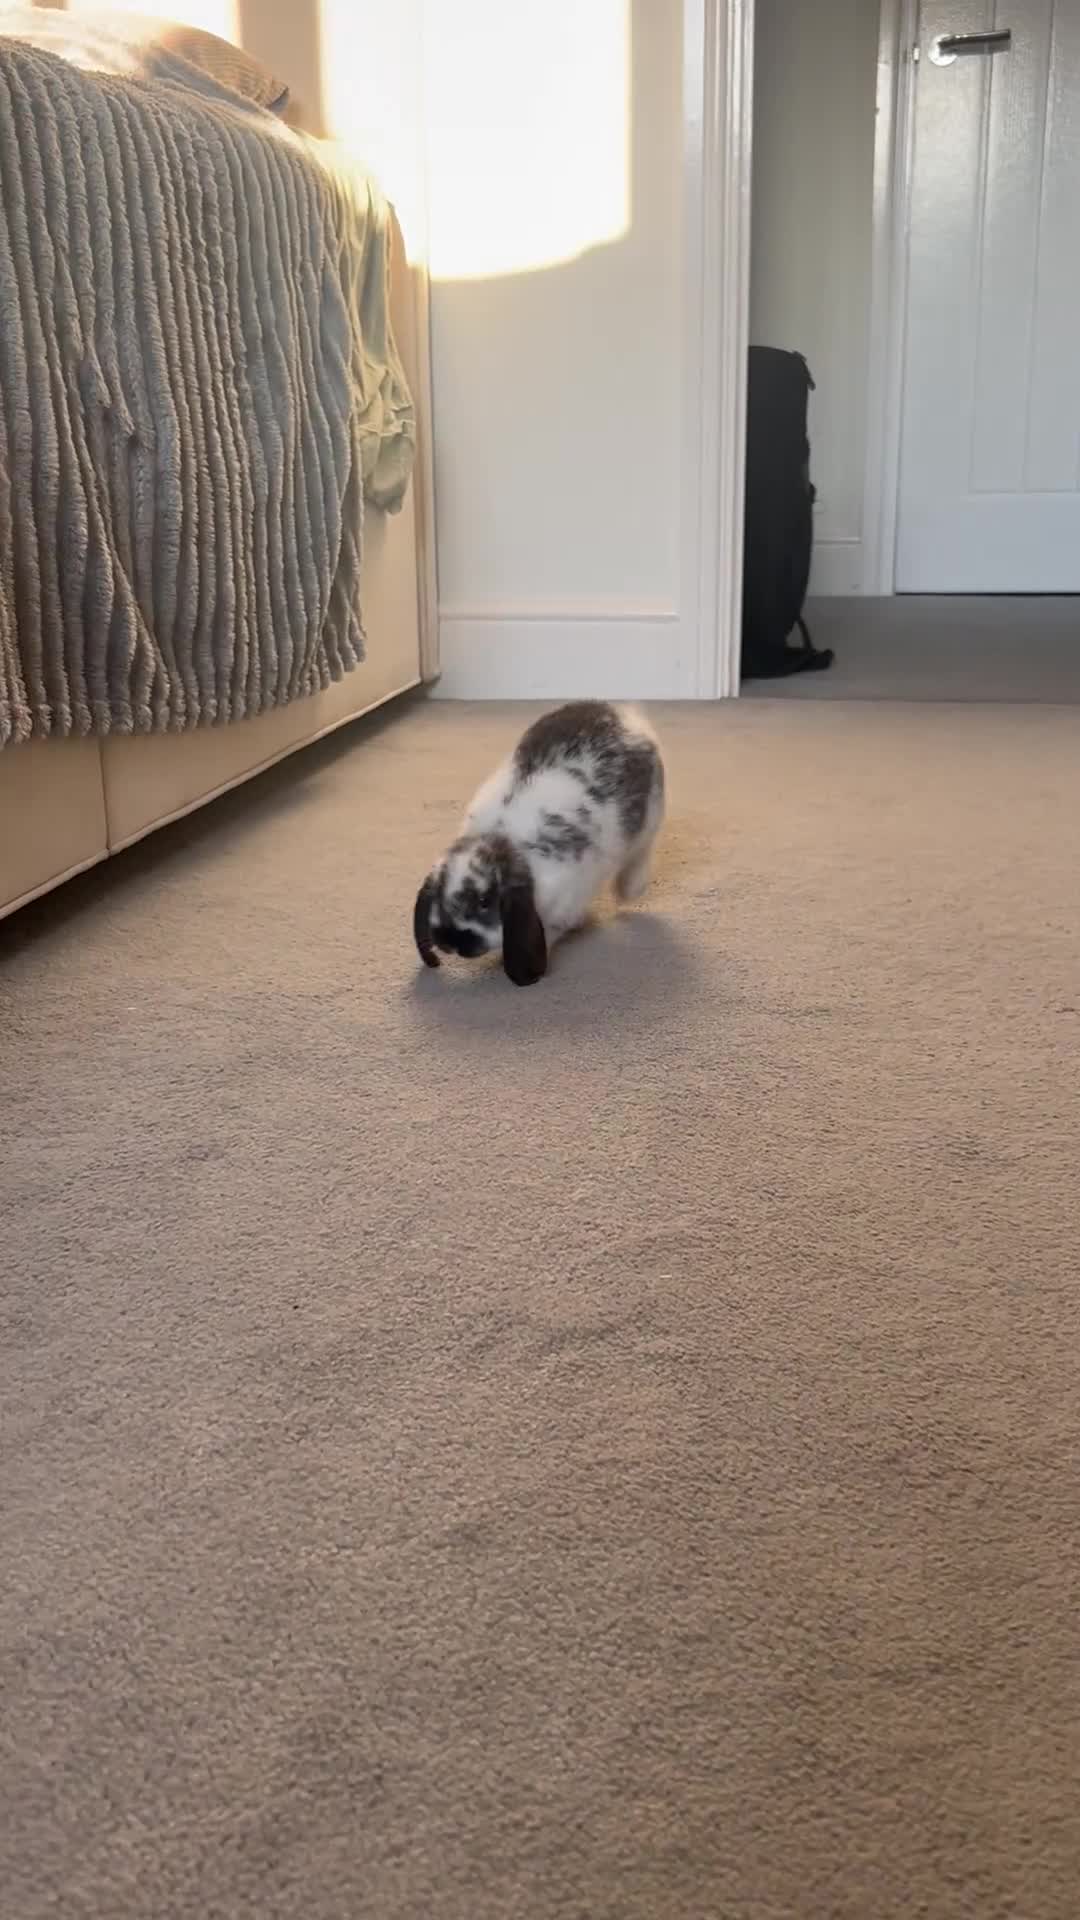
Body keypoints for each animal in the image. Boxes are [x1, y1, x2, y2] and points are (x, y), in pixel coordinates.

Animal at [413, 701, 665, 986]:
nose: (452, 942)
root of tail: (625, 715)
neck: (504, 841)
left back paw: (628, 890)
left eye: (485, 902)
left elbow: (551, 932)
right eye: (438, 895)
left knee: (640, 854)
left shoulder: (561, 908)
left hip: (650, 819)